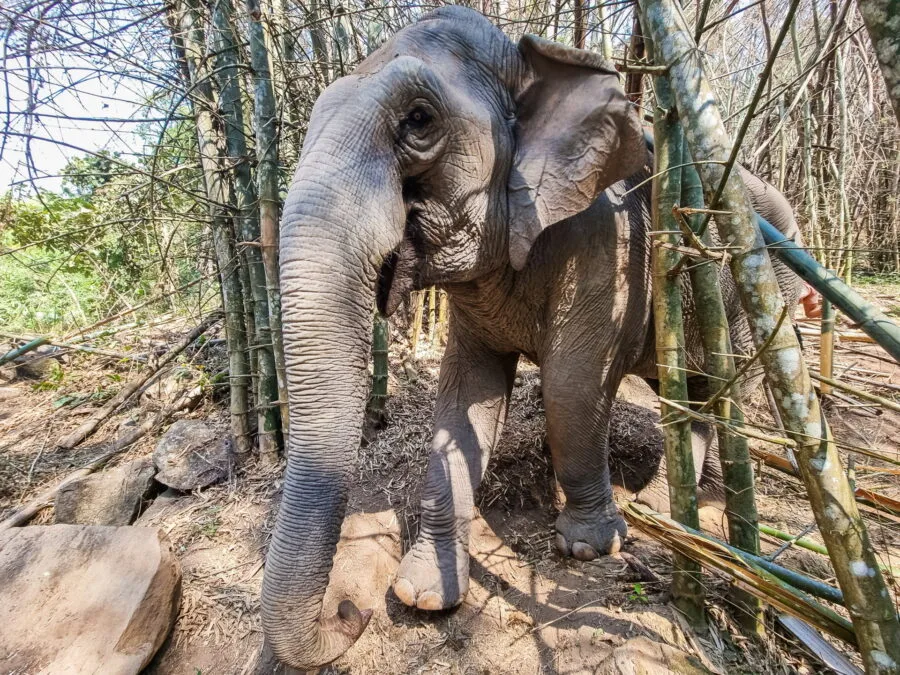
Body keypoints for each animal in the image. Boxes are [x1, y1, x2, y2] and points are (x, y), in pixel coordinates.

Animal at [261, 6, 804, 670]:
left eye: (418, 120)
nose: (349, 611)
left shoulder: (607, 240)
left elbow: (572, 385)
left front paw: (589, 547)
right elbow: (465, 396)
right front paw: (423, 595)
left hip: (763, 295)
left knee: (719, 392)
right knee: (693, 395)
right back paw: (657, 506)